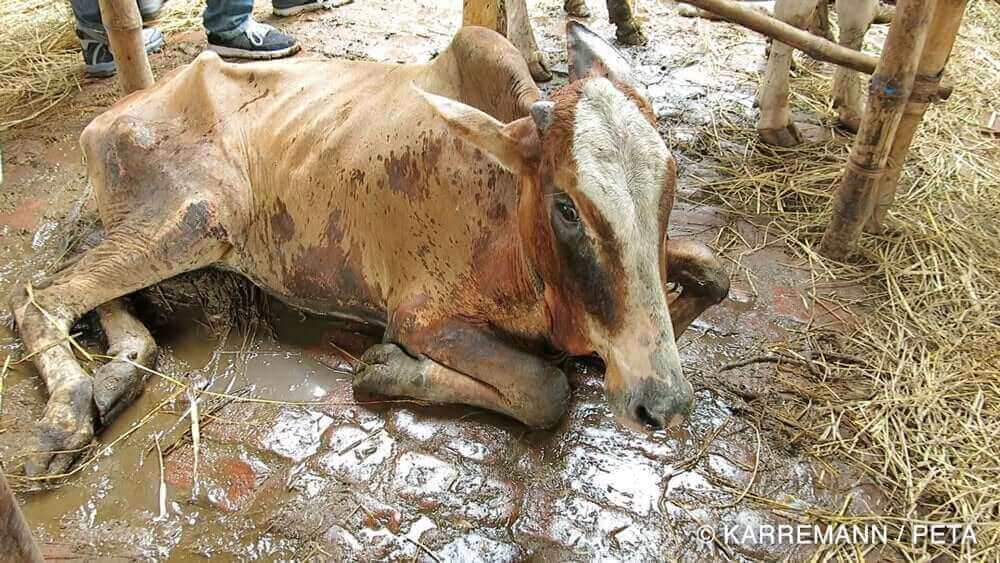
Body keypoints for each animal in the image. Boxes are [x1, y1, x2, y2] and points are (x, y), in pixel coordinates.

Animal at [10, 22, 729, 477]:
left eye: (670, 180)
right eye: (567, 206)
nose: (662, 400)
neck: (506, 206)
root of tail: (109, 117)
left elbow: (714, 272)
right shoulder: (422, 316)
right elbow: (544, 389)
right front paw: (386, 368)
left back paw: (117, 374)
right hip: (192, 222)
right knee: (40, 296)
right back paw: (69, 416)